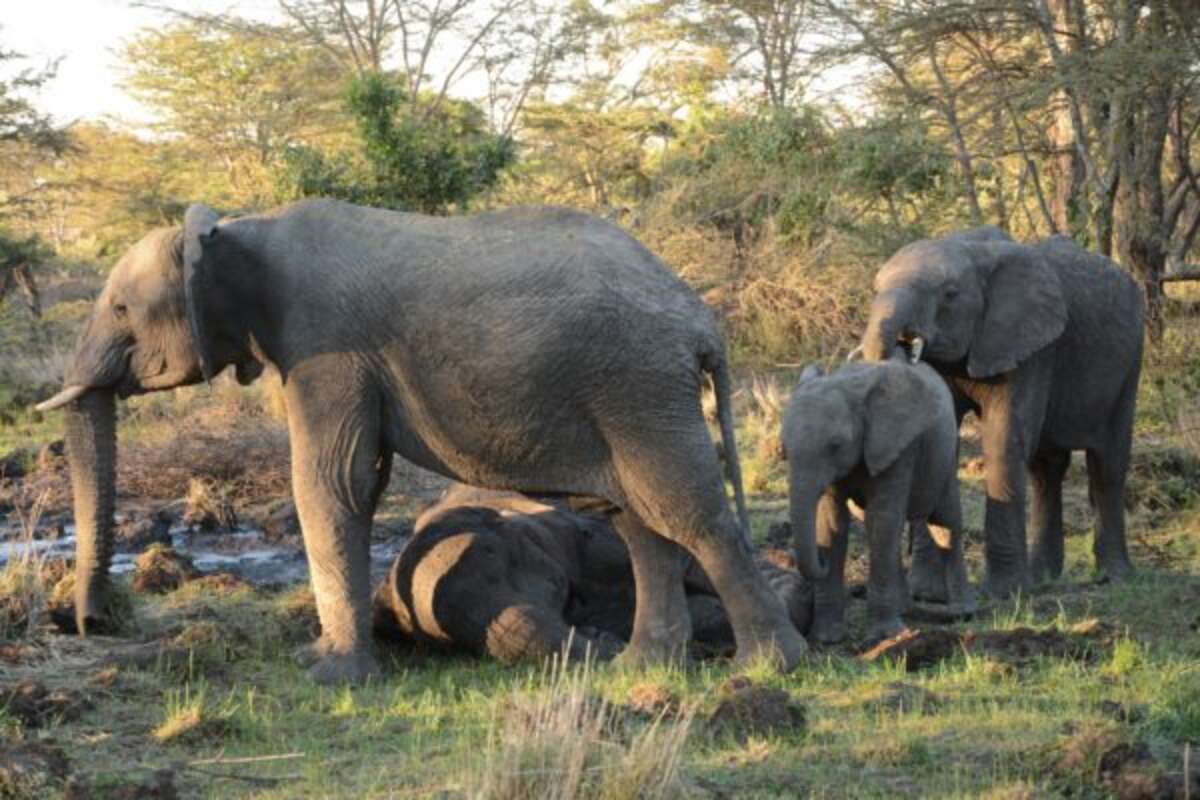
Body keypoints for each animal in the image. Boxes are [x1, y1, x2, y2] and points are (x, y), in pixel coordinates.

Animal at [35, 199, 806, 681]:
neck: (239, 227)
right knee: (637, 520)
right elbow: (355, 481)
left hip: (637, 384)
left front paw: (330, 676)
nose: (90, 623)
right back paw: (643, 666)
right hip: (623, 394)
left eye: (121, 309)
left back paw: (768, 668)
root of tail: (701, 320)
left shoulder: (326, 346)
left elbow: (332, 482)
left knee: (687, 512)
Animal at [782, 359, 969, 642]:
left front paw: (885, 636)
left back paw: (962, 611)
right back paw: (904, 608)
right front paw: (826, 638)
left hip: (946, 456)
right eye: (784, 449)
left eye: (836, 445)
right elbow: (833, 523)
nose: (821, 562)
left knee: (944, 524)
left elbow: (882, 519)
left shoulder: (898, 448)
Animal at [854, 227, 1142, 597]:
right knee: (1046, 470)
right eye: (875, 290)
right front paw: (926, 594)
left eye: (950, 294)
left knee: (1107, 466)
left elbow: (1003, 439)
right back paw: (1041, 577)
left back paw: (1114, 577)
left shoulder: (1031, 348)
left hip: (1129, 364)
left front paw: (1004, 593)